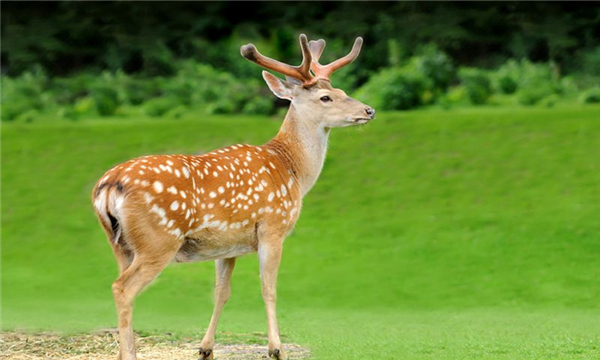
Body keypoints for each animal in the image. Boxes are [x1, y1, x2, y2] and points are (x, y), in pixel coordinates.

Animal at [91, 34, 376, 360]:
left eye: (342, 91)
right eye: (325, 98)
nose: (369, 110)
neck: (291, 169)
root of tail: (108, 186)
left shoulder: (227, 245)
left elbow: (221, 292)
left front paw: (206, 348)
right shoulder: (272, 227)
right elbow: (269, 288)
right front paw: (276, 348)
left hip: (121, 245)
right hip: (158, 239)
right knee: (122, 288)